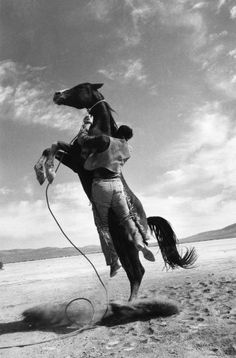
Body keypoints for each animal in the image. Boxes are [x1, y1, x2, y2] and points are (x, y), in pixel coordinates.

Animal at [45, 82, 196, 300]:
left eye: (80, 87)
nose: (57, 94)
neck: (102, 132)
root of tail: (146, 219)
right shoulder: (72, 158)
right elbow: (55, 145)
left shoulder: (77, 163)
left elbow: (55, 145)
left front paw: (45, 172)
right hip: (121, 245)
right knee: (134, 272)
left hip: (128, 246)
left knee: (138, 271)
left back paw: (130, 302)